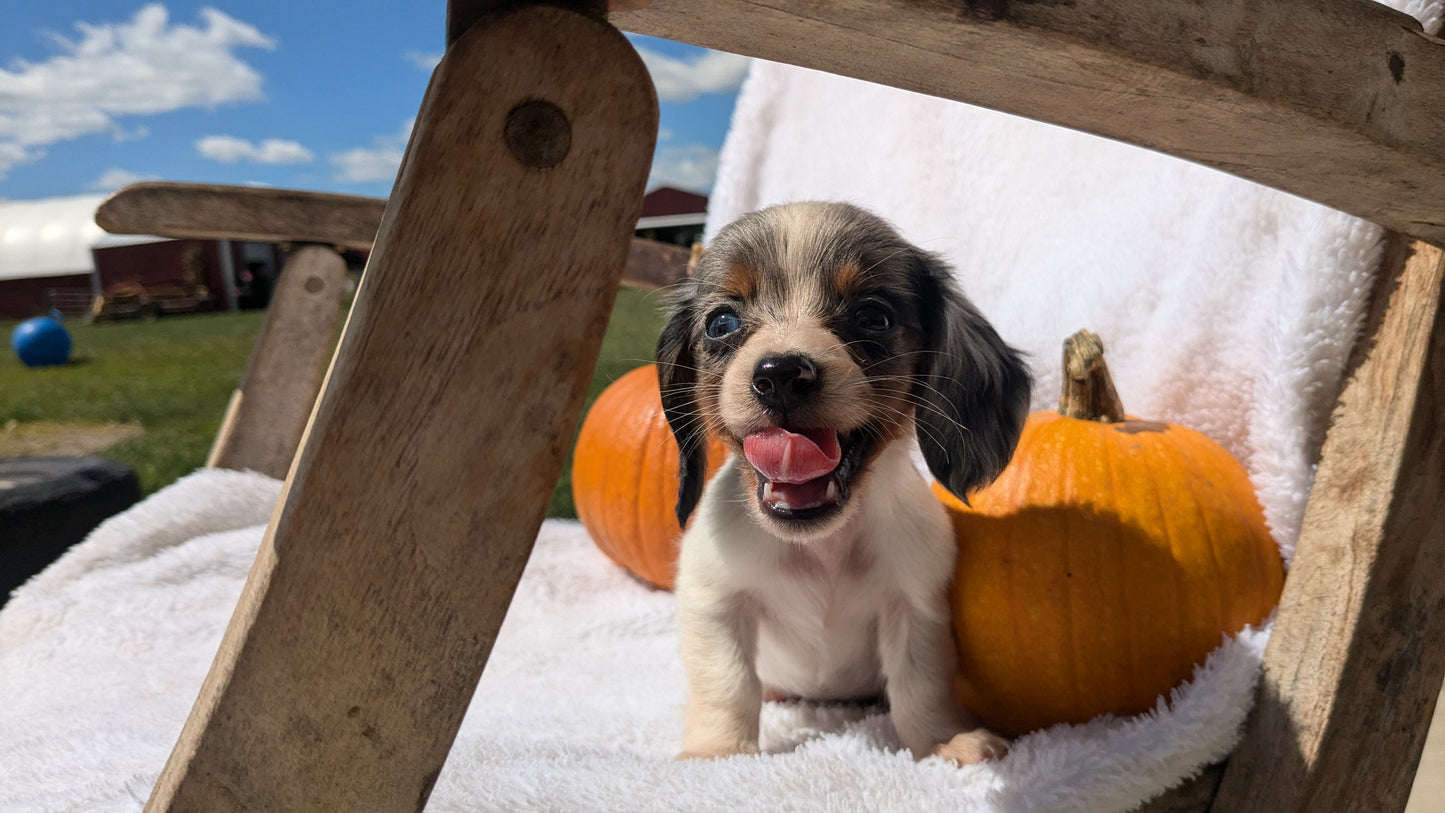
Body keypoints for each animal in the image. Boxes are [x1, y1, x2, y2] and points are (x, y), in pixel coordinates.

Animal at [661, 202, 1034, 762]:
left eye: (872, 315)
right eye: (721, 322)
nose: (781, 373)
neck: (822, 547)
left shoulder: (915, 606)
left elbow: (920, 687)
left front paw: (944, 741)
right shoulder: (714, 601)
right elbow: (727, 683)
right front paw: (718, 752)